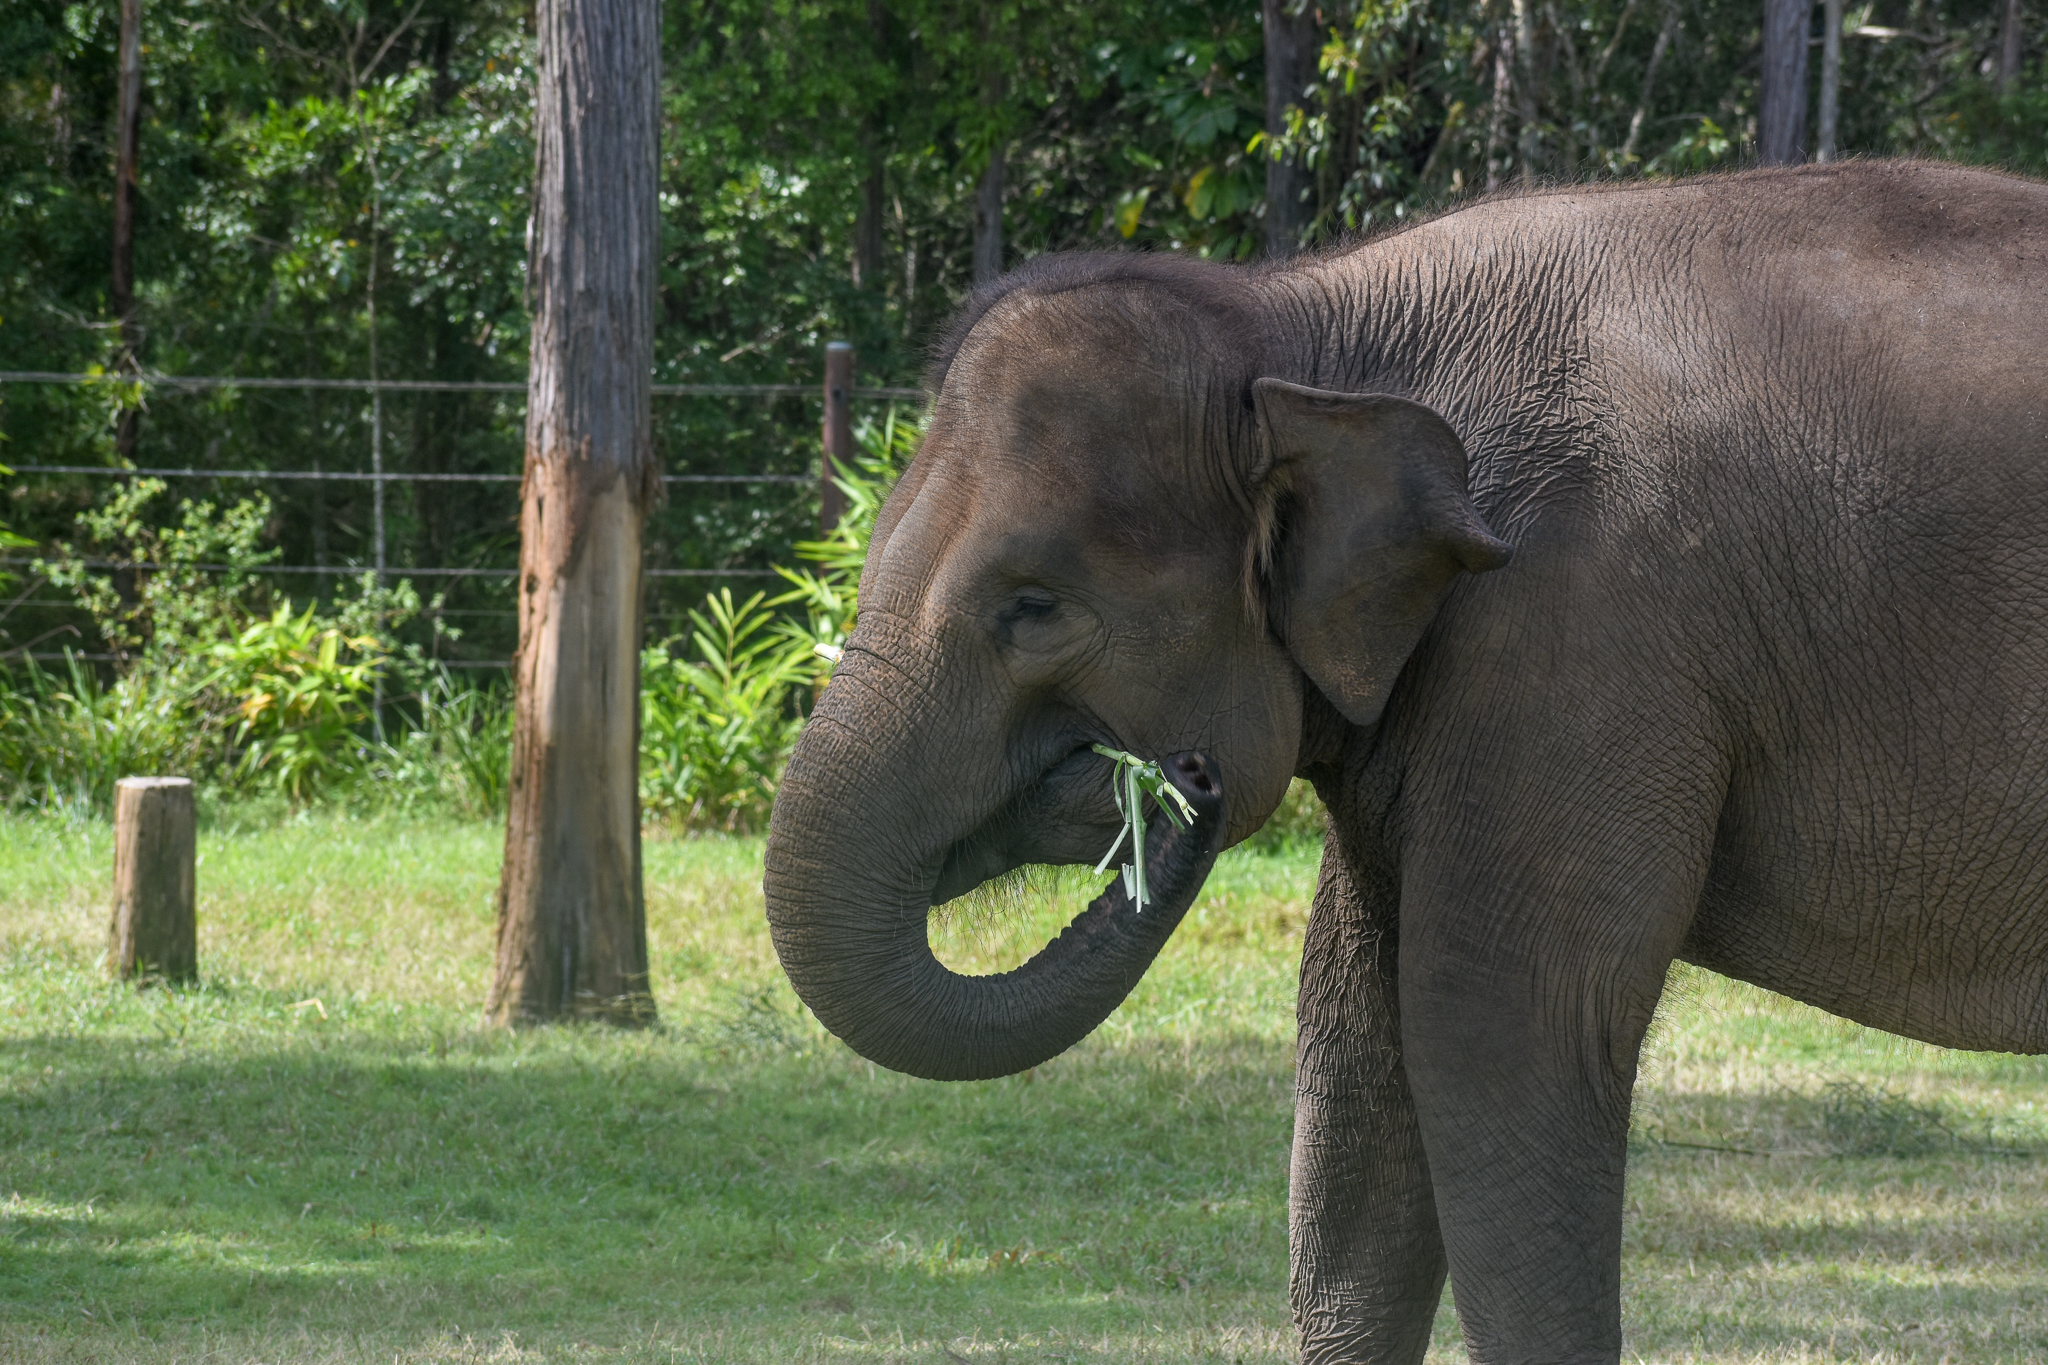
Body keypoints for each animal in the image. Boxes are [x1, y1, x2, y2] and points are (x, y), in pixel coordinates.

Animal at [762, 159, 2048, 1363]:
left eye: (1032, 608)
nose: (1185, 785)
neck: (1303, 323)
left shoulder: (1581, 639)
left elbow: (1496, 1029)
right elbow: (1352, 1043)